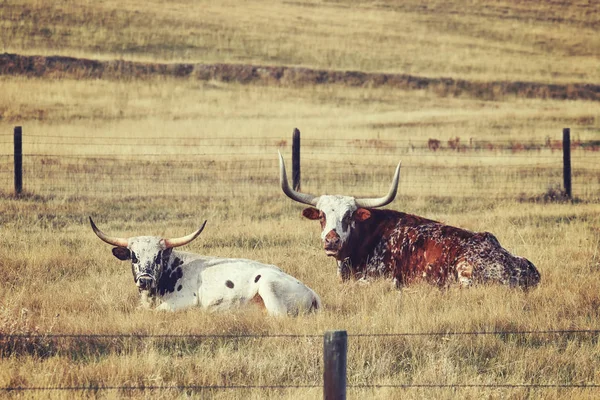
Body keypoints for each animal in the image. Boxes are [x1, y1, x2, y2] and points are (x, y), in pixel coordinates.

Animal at [89, 219, 322, 316]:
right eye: (134, 257)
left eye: (158, 257)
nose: (145, 280)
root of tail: (311, 292)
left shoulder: (182, 302)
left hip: (268, 287)